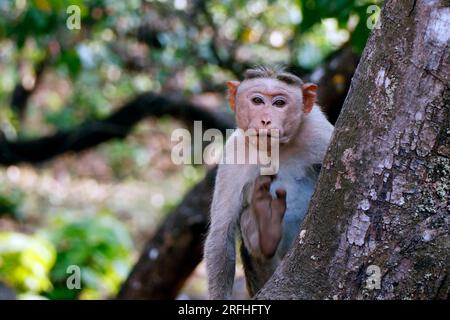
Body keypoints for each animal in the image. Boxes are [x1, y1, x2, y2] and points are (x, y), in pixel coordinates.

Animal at [204, 65, 334, 300]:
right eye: (257, 101)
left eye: (279, 103)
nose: (266, 120)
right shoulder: (234, 155)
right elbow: (221, 232)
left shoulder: (318, 131)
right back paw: (264, 232)